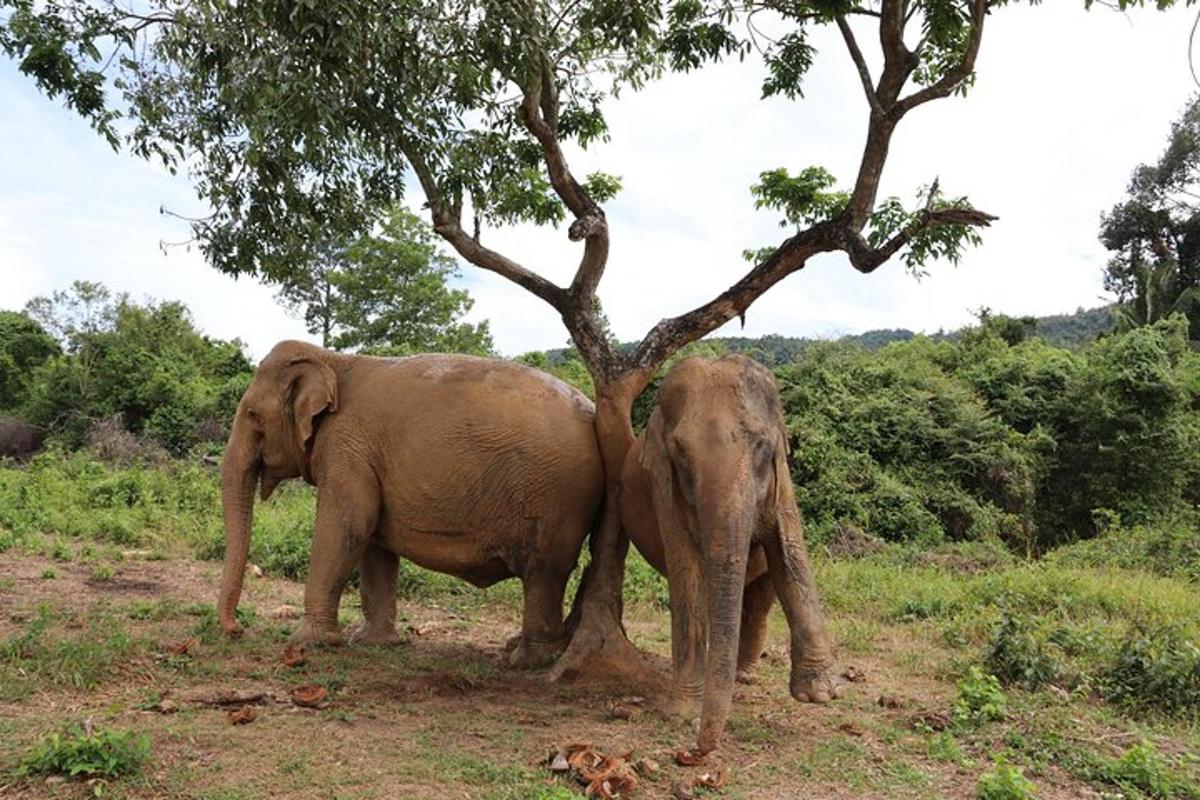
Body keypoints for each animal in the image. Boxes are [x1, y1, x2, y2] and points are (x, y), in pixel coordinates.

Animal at [217, 340, 604, 671]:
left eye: (252, 414)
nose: (236, 630)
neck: (333, 361)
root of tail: (595, 415)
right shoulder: (365, 457)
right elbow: (372, 540)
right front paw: (371, 641)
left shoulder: (346, 448)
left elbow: (347, 525)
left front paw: (306, 641)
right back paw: (519, 647)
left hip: (557, 498)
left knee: (543, 571)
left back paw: (527, 660)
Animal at [624, 352, 840, 753]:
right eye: (680, 453)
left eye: (762, 446)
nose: (697, 749)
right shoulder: (663, 487)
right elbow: (686, 571)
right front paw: (681, 711)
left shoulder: (782, 479)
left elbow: (789, 552)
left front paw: (820, 694)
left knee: (759, 596)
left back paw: (744, 676)